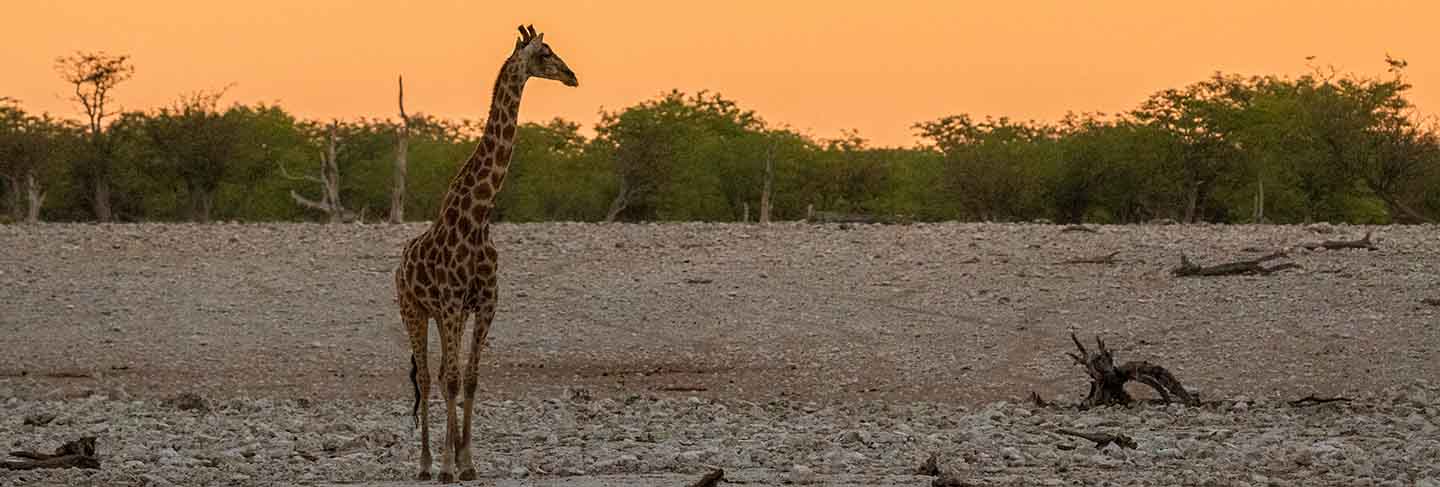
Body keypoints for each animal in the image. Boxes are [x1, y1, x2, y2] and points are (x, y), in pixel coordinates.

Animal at [394, 24, 578, 481]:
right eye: (545, 53)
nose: (572, 75)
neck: (478, 218)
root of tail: (400, 262)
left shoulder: (485, 304)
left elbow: (471, 378)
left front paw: (468, 462)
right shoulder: (452, 303)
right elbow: (451, 380)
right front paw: (447, 466)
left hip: (446, 315)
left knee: (444, 373)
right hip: (413, 309)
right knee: (428, 377)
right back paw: (425, 465)